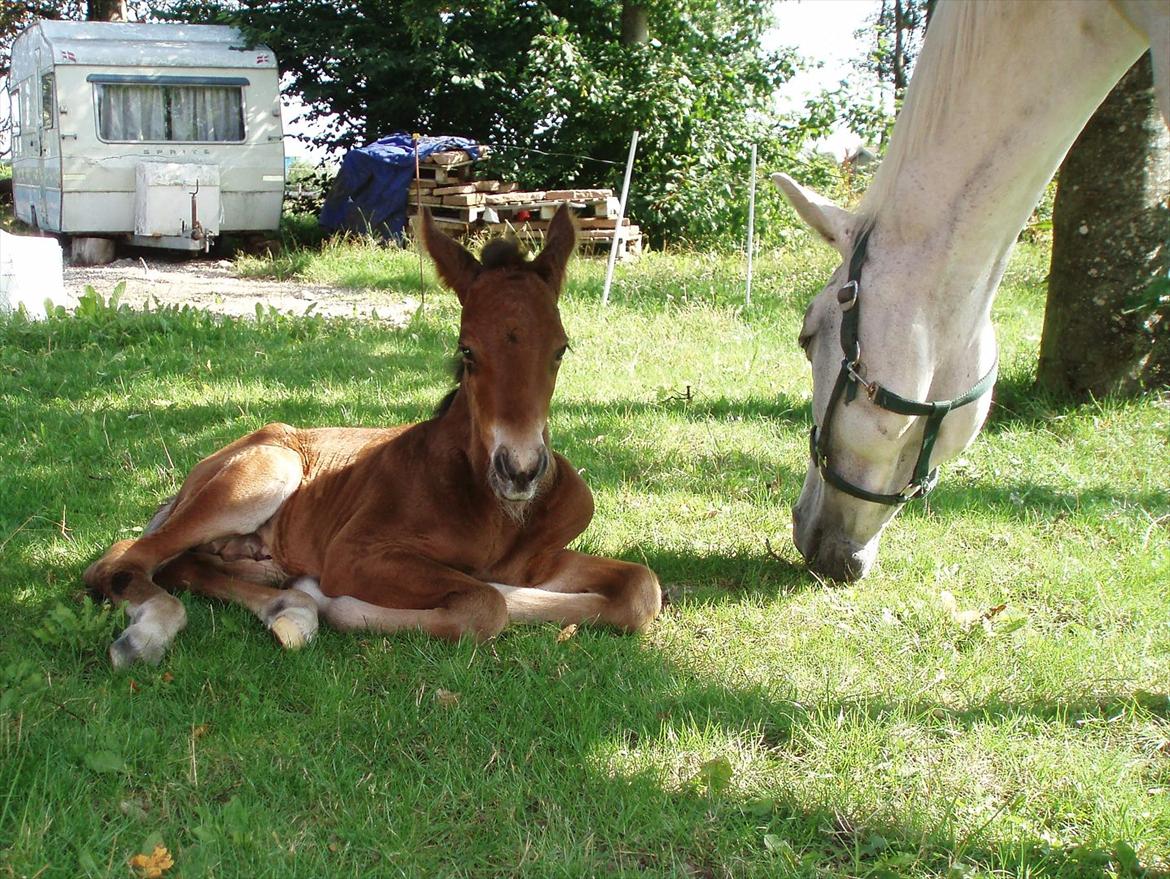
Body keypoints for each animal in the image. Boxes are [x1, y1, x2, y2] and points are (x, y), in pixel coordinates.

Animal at [84, 204, 659, 664]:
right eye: (468, 350)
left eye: (561, 348)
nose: (519, 470)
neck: (496, 511)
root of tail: (194, 476)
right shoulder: (355, 555)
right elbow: (485, 602)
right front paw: (340, 604)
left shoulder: (538, 561)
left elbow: (641, 588)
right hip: (268, 471)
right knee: (124, 559)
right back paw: (151, 634)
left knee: (184, 564)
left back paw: (289, 607)